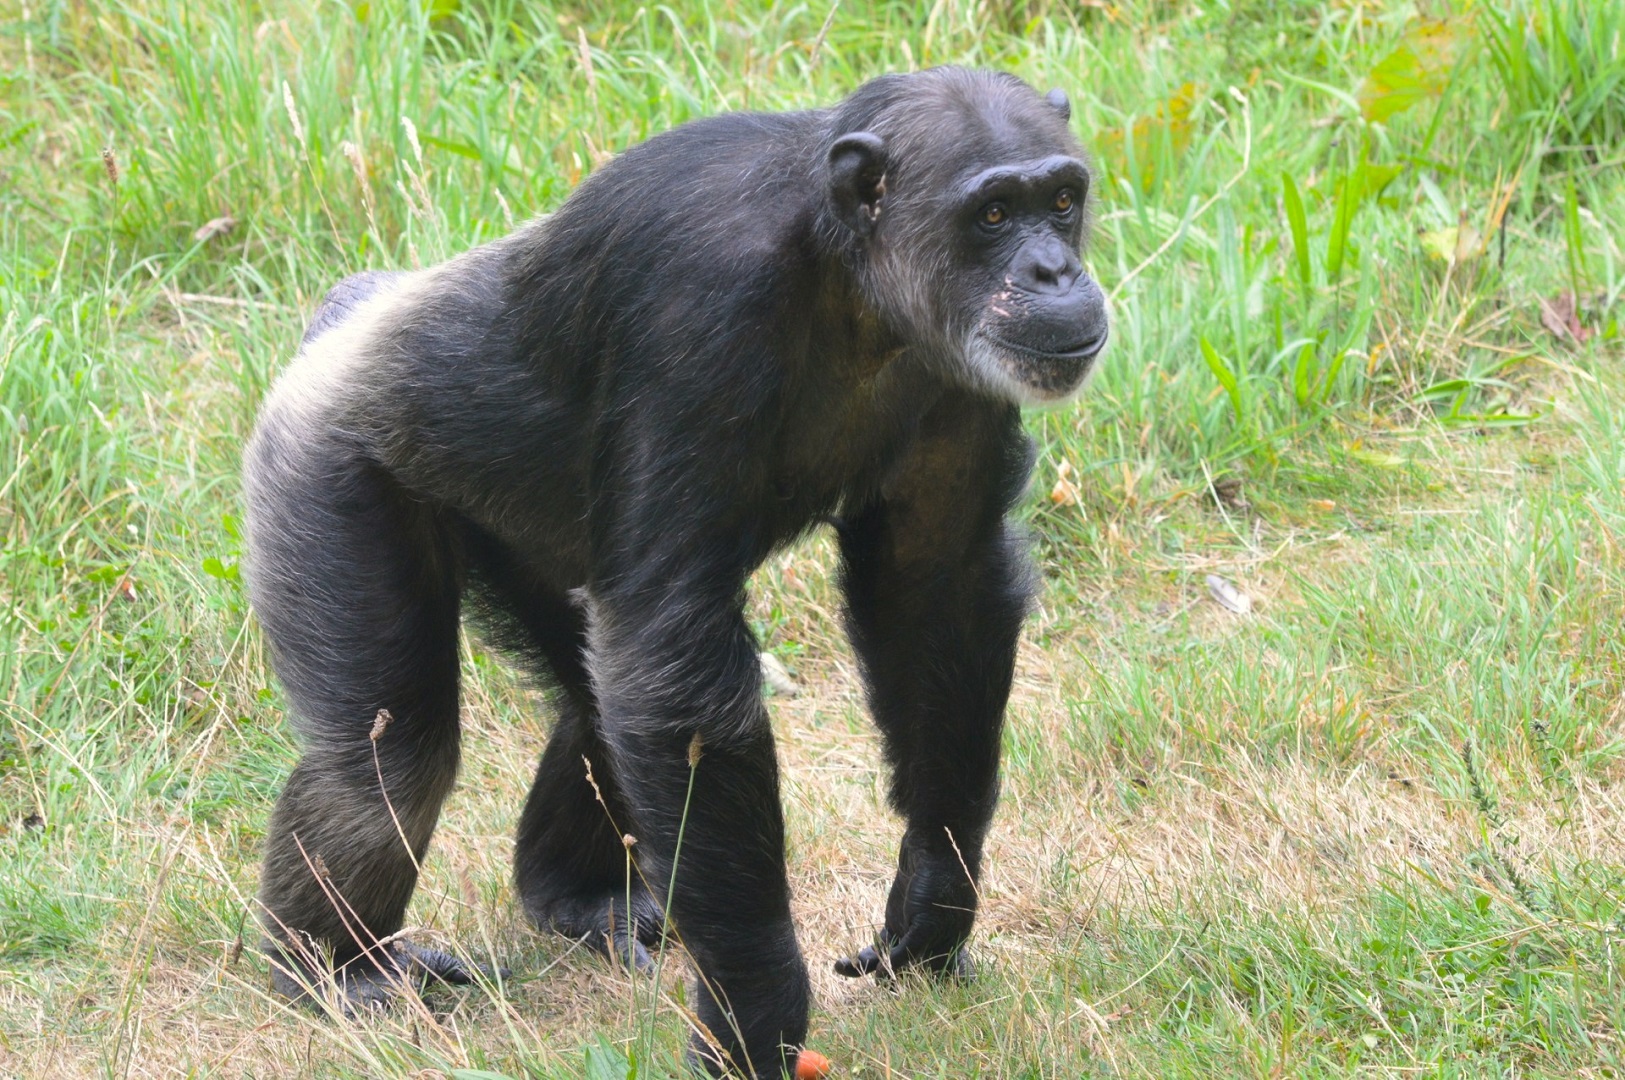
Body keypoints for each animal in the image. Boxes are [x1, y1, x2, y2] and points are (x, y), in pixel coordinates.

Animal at [243, 66, 1108, 1077]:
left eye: (1060, 200)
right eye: (993, 213)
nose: (1052, 271)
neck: (848, 279)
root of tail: (339, 321)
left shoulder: (959, 384)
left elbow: (937, 588)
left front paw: (933, 897)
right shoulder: (699, 299)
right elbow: (676, 652)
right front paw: (754, 1009)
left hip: (515, 532)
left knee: (596, 696)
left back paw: (580, 899)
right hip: (324, 475)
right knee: (390, 758)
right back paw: (334, 967)